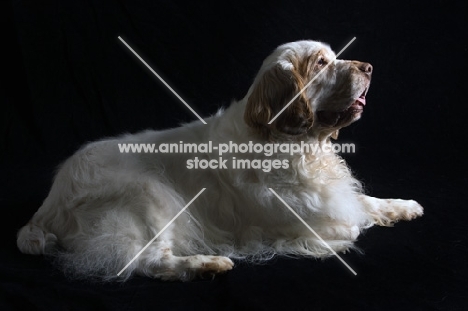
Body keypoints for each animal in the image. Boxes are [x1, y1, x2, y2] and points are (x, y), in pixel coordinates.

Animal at [17, 40, 424, 282]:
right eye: (322, 63)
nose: (368, 67)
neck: (297, 146)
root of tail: (48, 203)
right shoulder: (297, 218)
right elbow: (349, 227)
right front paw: (319, 245)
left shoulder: (337, 194)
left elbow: (363, 201)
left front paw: (404, 206)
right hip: (149, 194)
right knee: (148, 261)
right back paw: (207, 263)